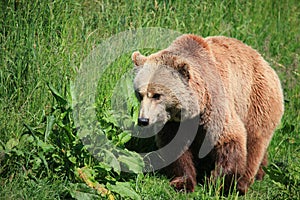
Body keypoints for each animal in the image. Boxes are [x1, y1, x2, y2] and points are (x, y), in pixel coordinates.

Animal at [131, 33, 284, 195]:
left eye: (157, 95)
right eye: (139, 94)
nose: (143, 120)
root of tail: (266, 63)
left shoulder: (215, 104)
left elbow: (230, 138)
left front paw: (220, 183)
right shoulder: (175, 123)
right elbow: (176, 146)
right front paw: (183, 183)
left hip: (256, 101)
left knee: (254, 142)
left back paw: (243, 182)